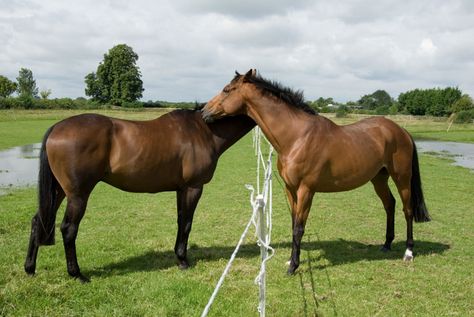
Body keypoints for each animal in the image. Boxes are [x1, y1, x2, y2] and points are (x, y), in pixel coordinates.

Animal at [25, 108, 256, 282]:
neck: (203, 130)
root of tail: (57, 127)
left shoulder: (181, 189)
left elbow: (181, 221)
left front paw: (178, 257)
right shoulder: (193, 187)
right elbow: (187, 224)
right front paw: (183, 261)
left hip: (58, 191)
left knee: (37, 221)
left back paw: (29, 268)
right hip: (78, 195)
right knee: (68, 229)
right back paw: (77, 274)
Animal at [202, 69, 432, 274]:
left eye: (227, 90)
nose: (204, 112)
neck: (297, 137)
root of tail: (401, 131)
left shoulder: (306, 190)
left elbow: (299, 227)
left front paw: (293, 267)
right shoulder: (290, 189)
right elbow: (293, 223)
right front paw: (291, 261)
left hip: (402, 177)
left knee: (407, 210)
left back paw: (408, 252)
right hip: (379, 179)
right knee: (389, 205)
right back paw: (386, 244)